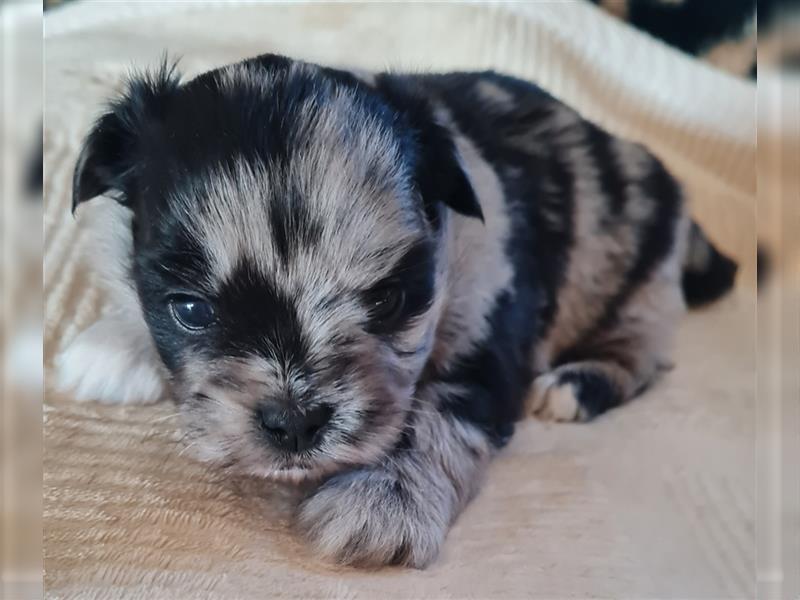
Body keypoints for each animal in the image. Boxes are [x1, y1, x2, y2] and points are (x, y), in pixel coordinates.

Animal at [56, 55, 736, 568]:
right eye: (191, 310)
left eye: (386, 301)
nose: (295, 423)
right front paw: (115, 343)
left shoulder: (488, 325)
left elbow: (437, 411)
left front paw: (383, 500)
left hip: (642, 277)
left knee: (640, 352)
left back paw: (579, 383)